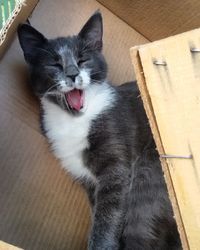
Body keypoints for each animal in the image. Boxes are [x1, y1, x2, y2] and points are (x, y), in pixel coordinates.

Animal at [18, 11, 182, 248]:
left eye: (83, 60)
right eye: (55, 65)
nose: (72, 74)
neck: (74, 121)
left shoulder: (116, 165)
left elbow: (108, 213)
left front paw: (102, 244)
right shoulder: (87, 180)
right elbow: (98, 209)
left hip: (147, 176)